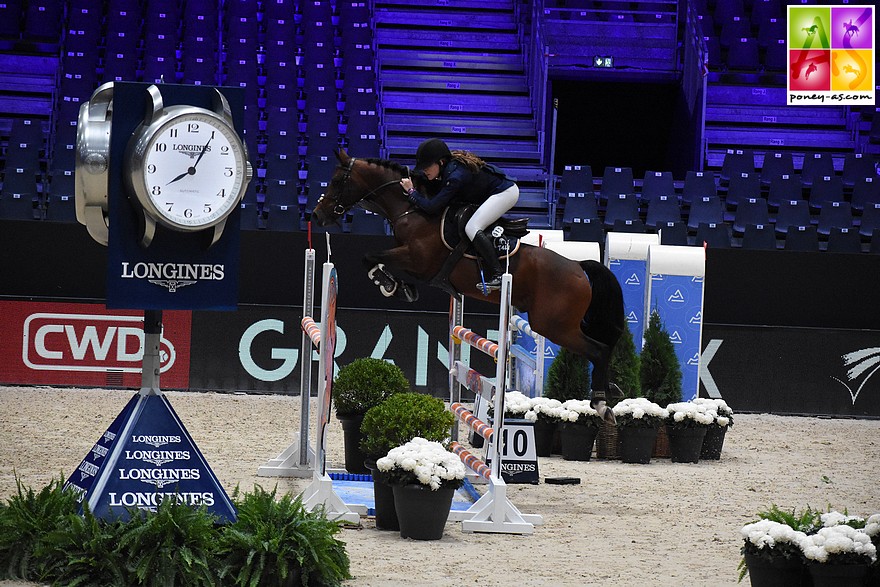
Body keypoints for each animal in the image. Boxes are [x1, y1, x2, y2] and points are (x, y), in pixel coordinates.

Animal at [310, 150, 624, 418]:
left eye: (337, 180)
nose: (317, 215)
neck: (413, 211)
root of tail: (578, 267)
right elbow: (375, 258)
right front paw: (402, 288)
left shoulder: (417, 260)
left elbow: (370, 257)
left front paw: (389, 284)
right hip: (561, 324)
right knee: (604, 347)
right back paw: (609, 391)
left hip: (553, 326)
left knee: (598, 350)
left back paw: (601, 402)